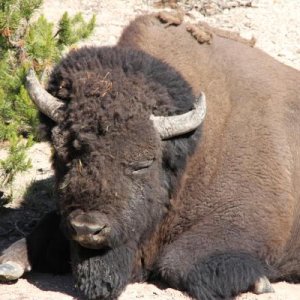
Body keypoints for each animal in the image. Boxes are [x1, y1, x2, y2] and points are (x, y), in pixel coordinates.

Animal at [0, 12, 300, 298]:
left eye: (142, 163)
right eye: (63, 156)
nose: (87, 228)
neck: (191, 156)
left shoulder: (242, 220)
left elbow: (177, 262)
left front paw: (261, 282)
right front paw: (10, 263)